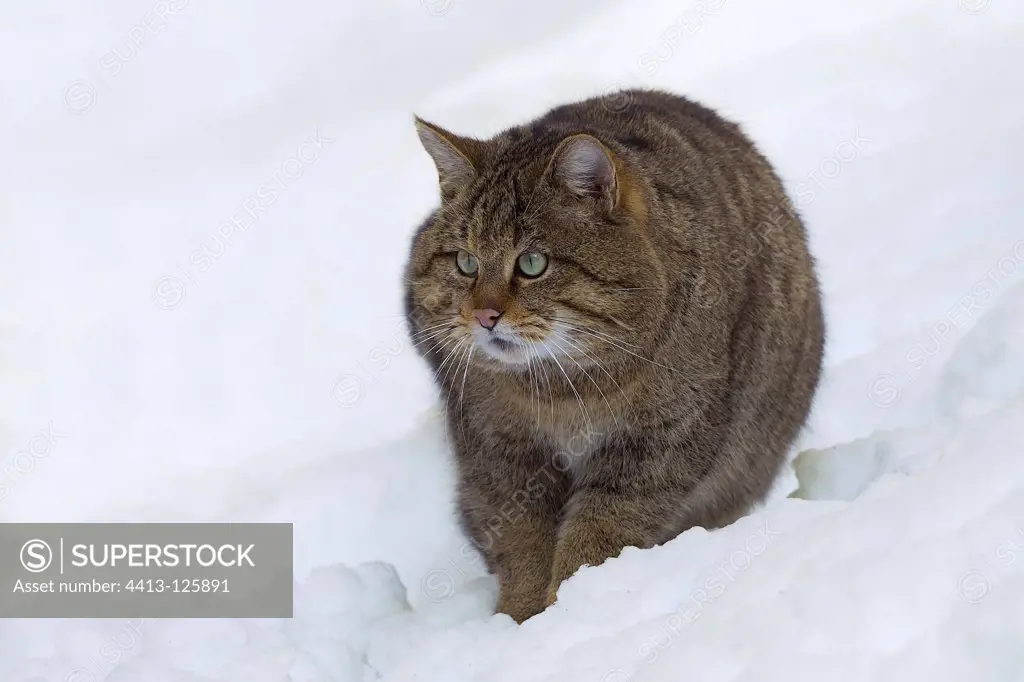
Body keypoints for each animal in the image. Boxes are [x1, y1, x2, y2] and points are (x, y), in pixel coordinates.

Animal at [399, 87, 823, 618]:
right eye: (465, 262)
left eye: (532, 263)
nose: (483, 315)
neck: (561, 389)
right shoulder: (497, 450)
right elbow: (520, 540)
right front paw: (522, 616)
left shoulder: (657, 446)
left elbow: (599, 535)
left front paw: (570, 607)